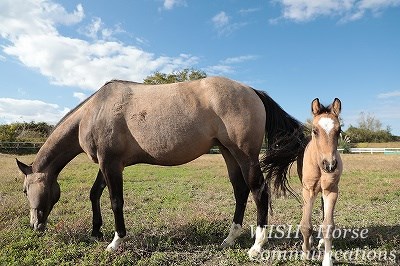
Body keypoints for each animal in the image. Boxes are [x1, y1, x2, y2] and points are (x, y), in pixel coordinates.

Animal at [14, 76, 306, 258]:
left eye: (26, 191)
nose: (35, 226)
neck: (95, 110)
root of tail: (252, 91)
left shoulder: (111, 165)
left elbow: (115, 201)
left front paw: (116, 241)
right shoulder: (107, 164)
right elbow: (94, 193)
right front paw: (96, 231)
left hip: (245, 155)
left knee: (259, 191)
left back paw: (257, 245)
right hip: (229, 154)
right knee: (240, 191)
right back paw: (230, 238)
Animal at [298, 98, 342, 266]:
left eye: (339, 130)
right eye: (315, 130)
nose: (329, 165)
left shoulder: (331, 190)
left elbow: (328, 226)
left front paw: (327, 260)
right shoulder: (308, 190)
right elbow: (305, 225)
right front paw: (305, 252)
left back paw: (321, 242)